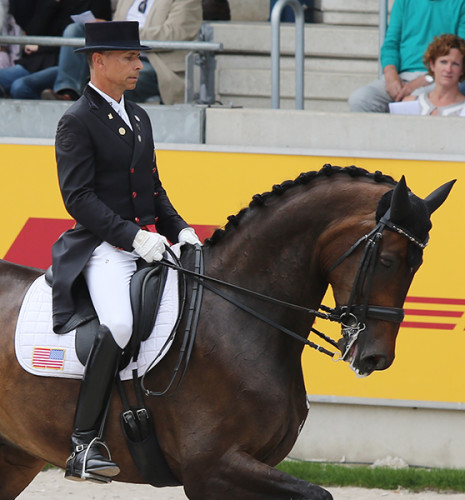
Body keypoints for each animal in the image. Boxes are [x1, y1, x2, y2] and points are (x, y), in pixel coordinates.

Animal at [0, 166, 454, 498]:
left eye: (416, 264)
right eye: (389, 260)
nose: (377, 357)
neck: (240, 316)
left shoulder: (254, 465)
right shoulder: (212, 469)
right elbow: (318, 493)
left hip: (17, 457)